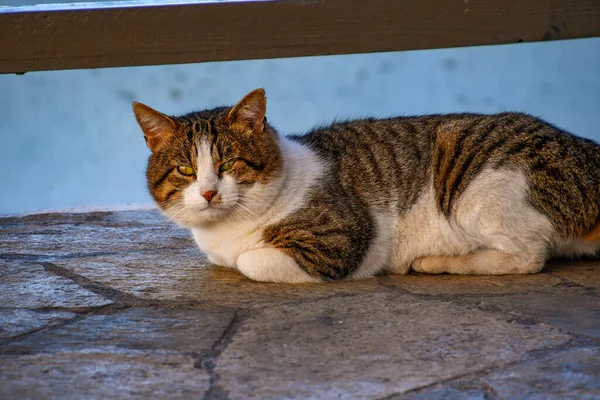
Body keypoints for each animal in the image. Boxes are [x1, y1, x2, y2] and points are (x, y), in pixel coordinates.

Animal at [134, 88, 600, 282]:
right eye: (186, 170)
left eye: (228, 163)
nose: (210, 192)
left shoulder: (343, 237)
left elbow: (251, 261)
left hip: (477, 184)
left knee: (528, 257)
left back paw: (434, 262)